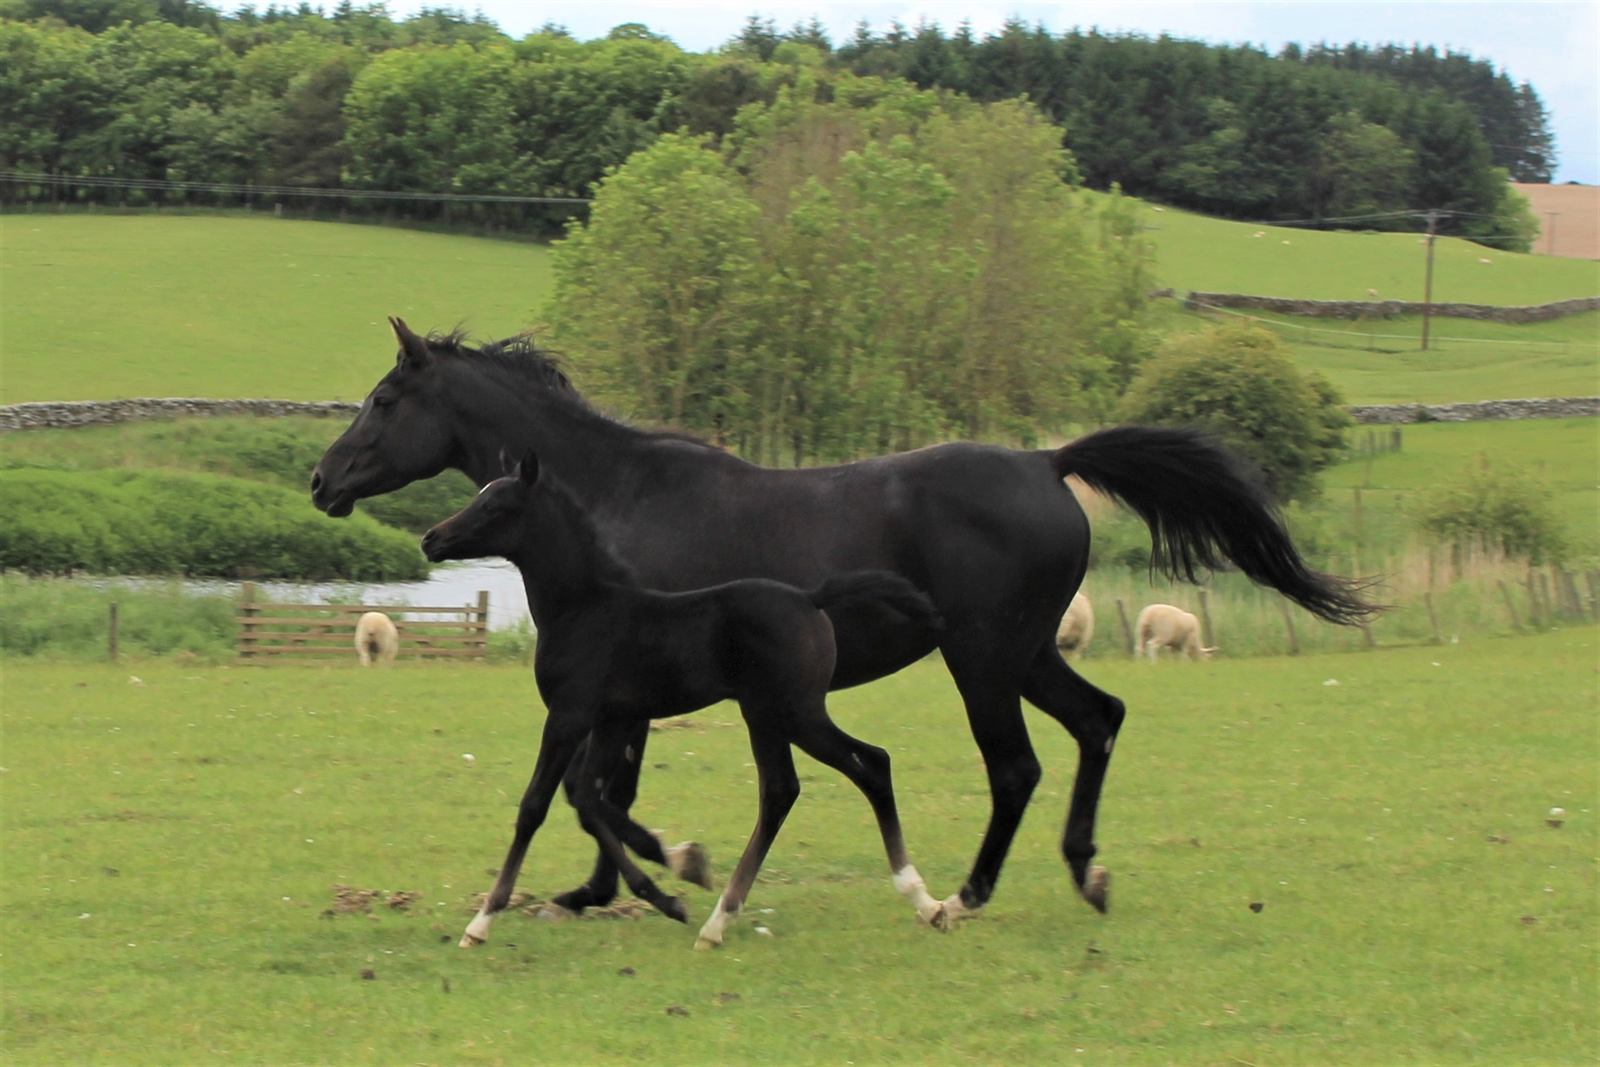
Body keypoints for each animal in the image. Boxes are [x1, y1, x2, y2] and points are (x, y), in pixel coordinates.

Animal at [421, 448, 947, 949]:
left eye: (493, 505)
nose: (431, 538)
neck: (583, 609)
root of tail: (811, 598)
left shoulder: (569, 715)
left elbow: (535, 806)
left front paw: (482, 921)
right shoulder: (613, 718)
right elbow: (590, 799)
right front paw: (669, 888)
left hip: (791, 711)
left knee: (852, 768)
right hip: (771, 715)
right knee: (802, 783)